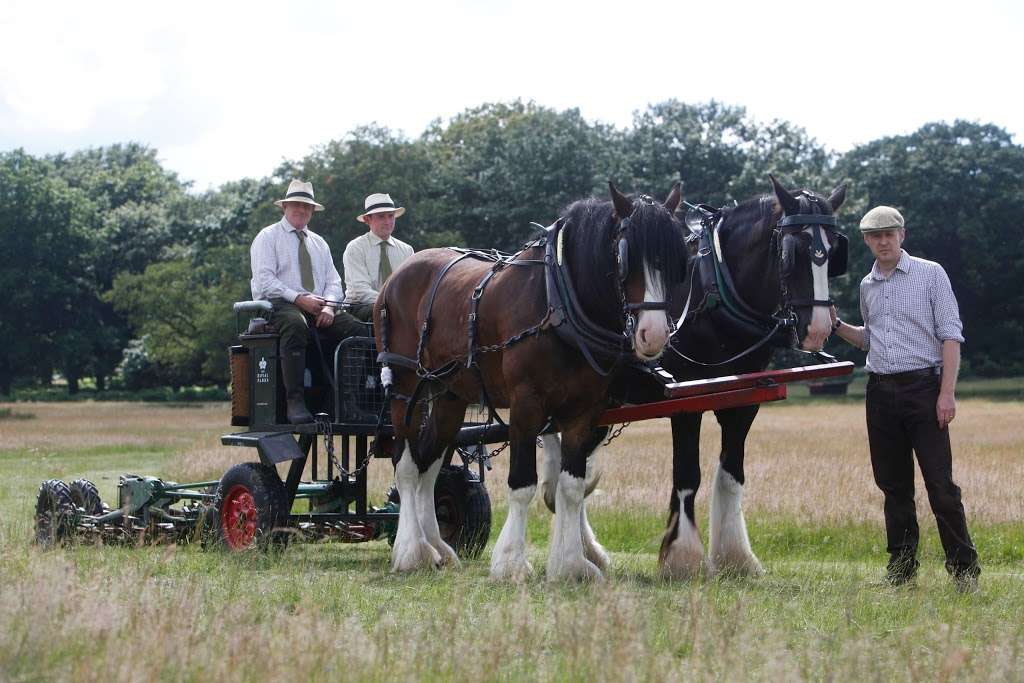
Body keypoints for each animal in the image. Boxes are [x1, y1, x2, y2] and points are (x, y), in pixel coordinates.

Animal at [376, 184, 688, 581]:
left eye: (676, 261)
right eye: (623, 258)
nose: (654, 334)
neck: (557, 301)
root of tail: (397, 276)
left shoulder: (583, 412)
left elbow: (571, 487)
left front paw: (572, 565)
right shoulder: (526, 404)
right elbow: (522, 483)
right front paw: (511, 563)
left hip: (449, 394)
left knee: (428, 463)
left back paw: (438, 548)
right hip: (405, 386)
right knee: (405, 465)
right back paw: (411, 552)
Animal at [540, 175, 843, 577]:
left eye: (835, 251)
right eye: (793, 251)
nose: (819, 328)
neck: (714, 292)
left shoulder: (744, 400)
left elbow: (732, 474)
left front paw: (736, 557)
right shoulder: (688, 400)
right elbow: (687, 474)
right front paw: (683, 557)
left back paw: (588, 551)